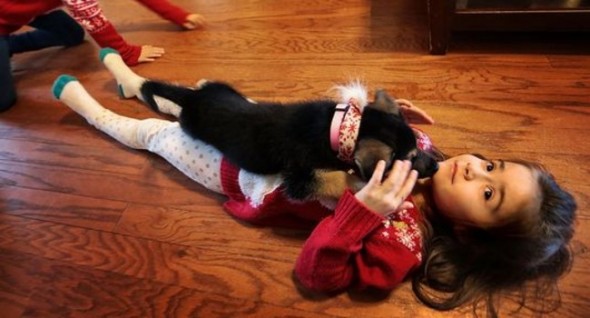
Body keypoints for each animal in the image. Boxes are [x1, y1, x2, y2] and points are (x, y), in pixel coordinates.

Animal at [140, 79, 440, 199]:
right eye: (410, 158)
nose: (437, 166)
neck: (339, 129)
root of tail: (192, 97)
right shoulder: (300, 178)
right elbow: (338, 178)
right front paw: (367, 186)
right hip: (189, 124)